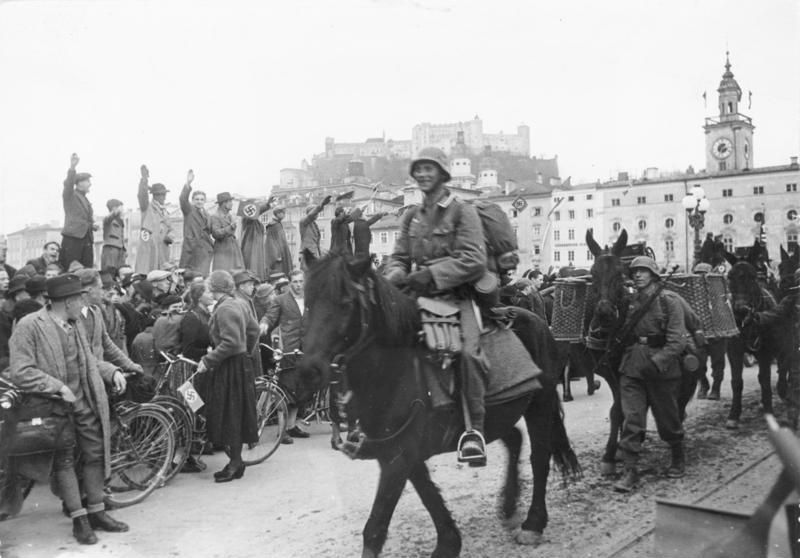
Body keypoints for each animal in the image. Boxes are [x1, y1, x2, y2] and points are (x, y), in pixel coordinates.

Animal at [296, 255, 580, 558]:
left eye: (347, 303)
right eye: (308, 302)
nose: (309, 371)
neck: (395, 369)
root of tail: (537, 320)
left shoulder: (398, 458)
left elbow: (376, 526)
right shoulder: (402, 453)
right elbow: (428, 493)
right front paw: (448, 542)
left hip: (540, 404)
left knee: (539, 458)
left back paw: (533, 522)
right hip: (497, 415)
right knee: (514, 438)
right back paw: (508, 505)